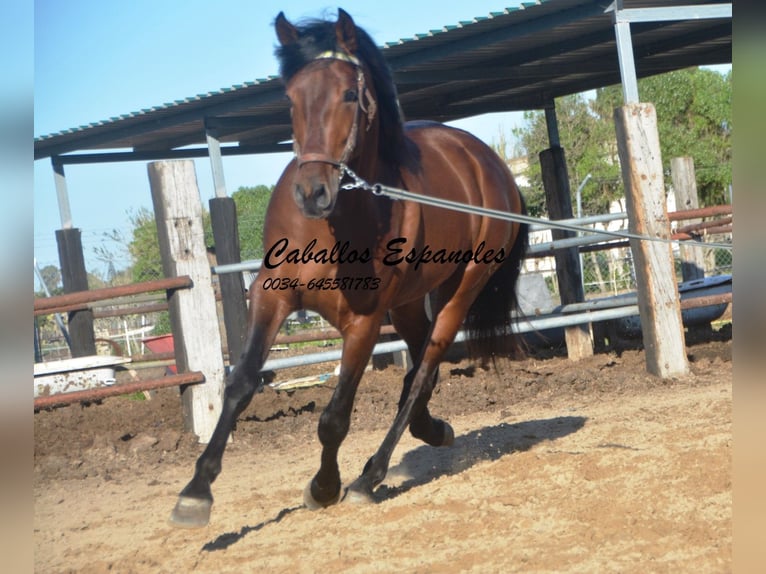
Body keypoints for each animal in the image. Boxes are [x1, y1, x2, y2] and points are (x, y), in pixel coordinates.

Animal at [170, 10, 528, 532]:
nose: (312, 192)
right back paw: (431, 432)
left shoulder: (364, 322)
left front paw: (324, 487)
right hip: (410, 303)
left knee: (424, 370)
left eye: (347, 94)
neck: (335, 225)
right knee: (419, 374)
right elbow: (240, 383)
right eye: (291, 96)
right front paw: (196, 492)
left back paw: (369, 477)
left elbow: (334, 417)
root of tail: (489, 163)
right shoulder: (272, 295)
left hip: (460, 291)